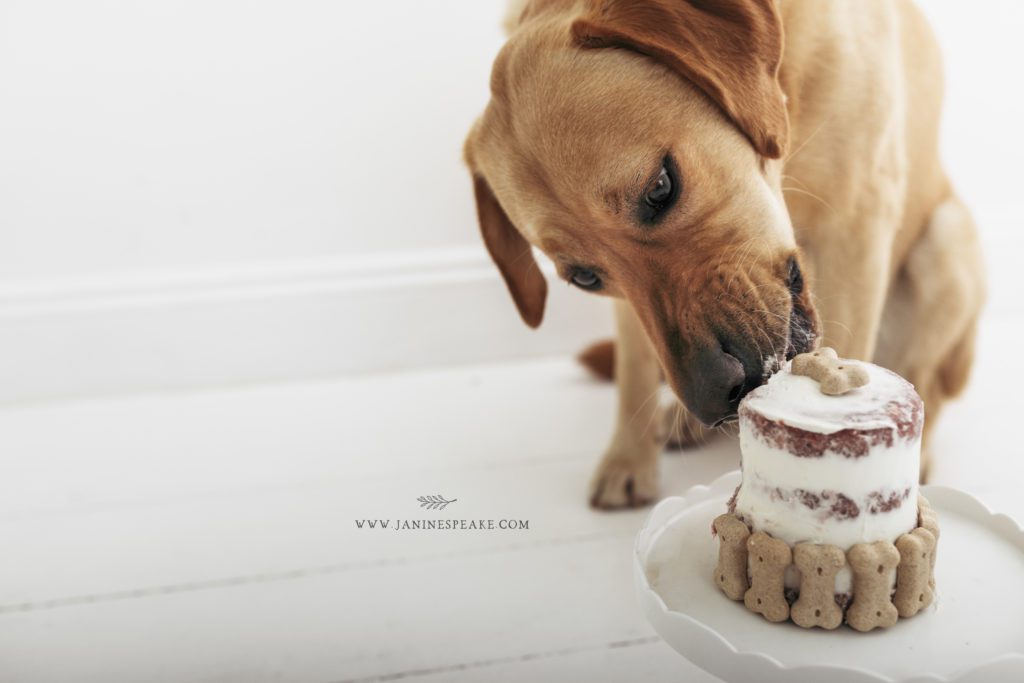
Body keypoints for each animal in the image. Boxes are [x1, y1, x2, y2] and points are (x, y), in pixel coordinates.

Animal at [462, 0, 983, 507]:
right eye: (585, 278)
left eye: (660, 188)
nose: (713, 399)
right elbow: (633, 369)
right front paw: (628, 459)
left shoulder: (856, 226)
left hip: (947, 246)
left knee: (930, 384)